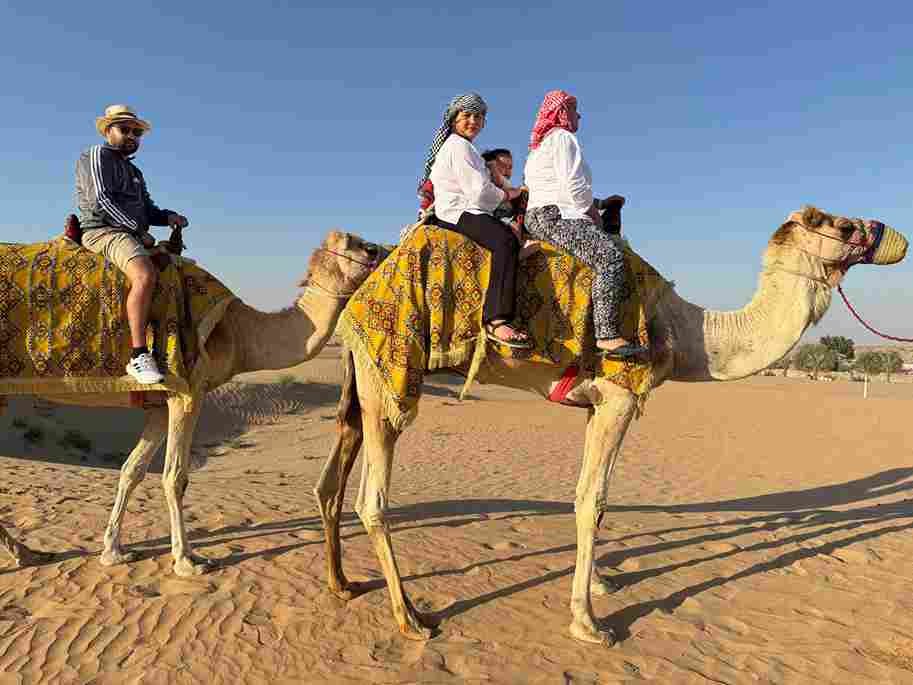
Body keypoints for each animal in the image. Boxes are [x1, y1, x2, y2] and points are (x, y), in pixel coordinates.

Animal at [2, 230, 380, 577]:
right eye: (357, 244)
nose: (381, 249)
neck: (239, 331)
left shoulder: (159, 401)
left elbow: (131, 470)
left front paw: (114, 552)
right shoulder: (188, 391)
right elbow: (175, 477)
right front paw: (187, 560)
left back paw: (30, 553)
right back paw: (24, 555)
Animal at [313, 207, 908, 646]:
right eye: (844, 227)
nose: (891, 235)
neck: (686, 331)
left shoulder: (595, 404)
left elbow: (585, 495)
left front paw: (600, 581)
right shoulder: (621, 396)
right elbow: (593, 499)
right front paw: (588, 623)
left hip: (362, 379)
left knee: (331, 481)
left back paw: (344, 586)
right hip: (393, 372)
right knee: (372, 498)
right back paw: (411, 620)